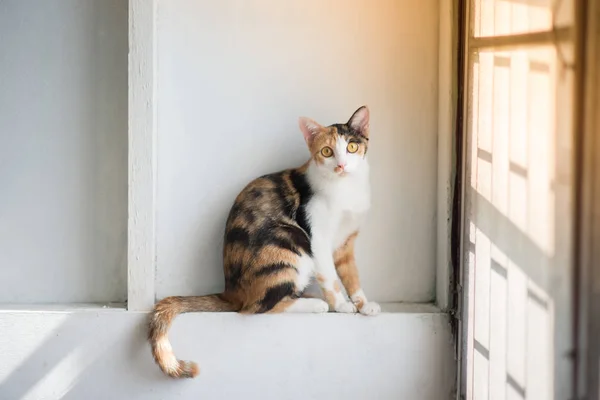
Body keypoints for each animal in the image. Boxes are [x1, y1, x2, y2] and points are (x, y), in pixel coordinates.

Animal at [148, 105, 380, 378]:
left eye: (352, 147)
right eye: (326, 151)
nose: (341, 165)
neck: (345, 190)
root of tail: (230, 292)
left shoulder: (346, 241)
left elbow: (351, 275)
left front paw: (363, 304)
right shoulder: (318, 238)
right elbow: (332, 278)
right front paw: (342, 304)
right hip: (291, 241)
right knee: (255, 308)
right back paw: (315, 304)